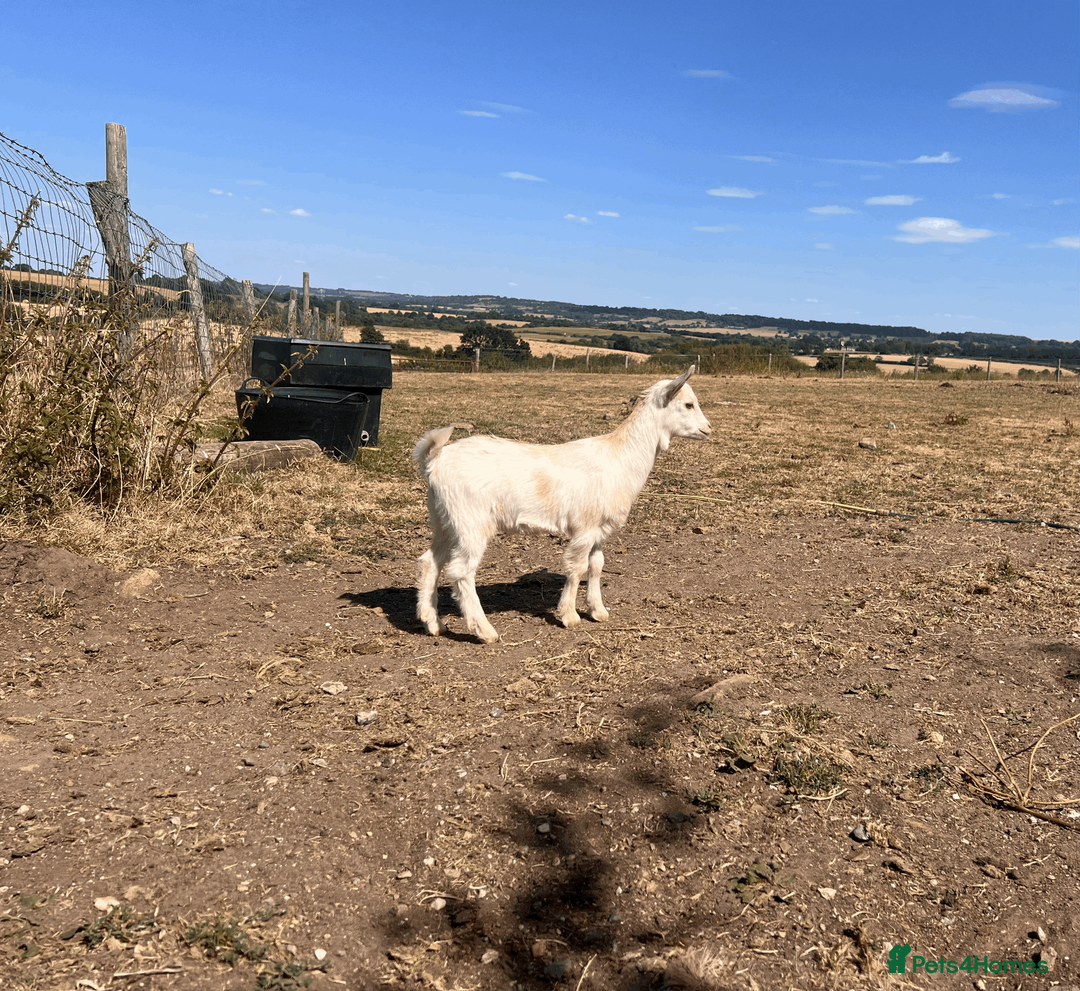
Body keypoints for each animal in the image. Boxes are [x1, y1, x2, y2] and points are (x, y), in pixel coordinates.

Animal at [411, 365, 712, 643]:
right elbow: (577, 567)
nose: (708, 429)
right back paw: (484, 630)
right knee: (461, 570)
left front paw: (598, 610)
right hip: (471, 521)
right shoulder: (585, 527)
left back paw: (433, 624)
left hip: (444, 519)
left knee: (431, 562)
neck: (620, 456)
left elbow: (597, 564)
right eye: (688, 404)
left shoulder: (598, 528)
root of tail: (435, 460)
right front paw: (569, 615)